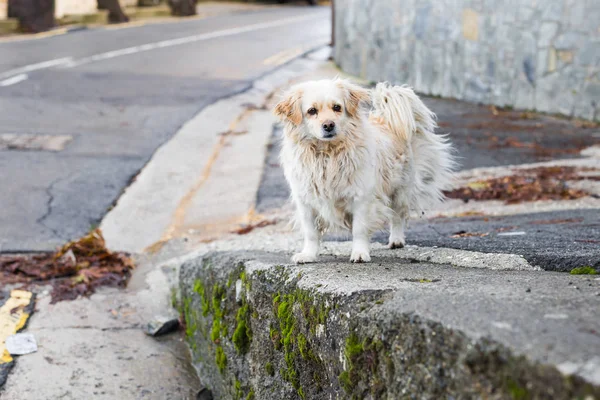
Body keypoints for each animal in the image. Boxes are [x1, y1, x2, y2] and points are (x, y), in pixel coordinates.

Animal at [274, 79, 454, 264]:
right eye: (311, 111)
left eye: (337, 107)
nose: (329, 125)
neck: (328, 154)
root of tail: (386, 122)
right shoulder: (305, 202)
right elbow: (310, 233)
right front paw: (308, 255)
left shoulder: (361, 198)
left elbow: (359, 230)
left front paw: (360, 253)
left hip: (400, 191)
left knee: (397, 216)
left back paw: (396, 240)